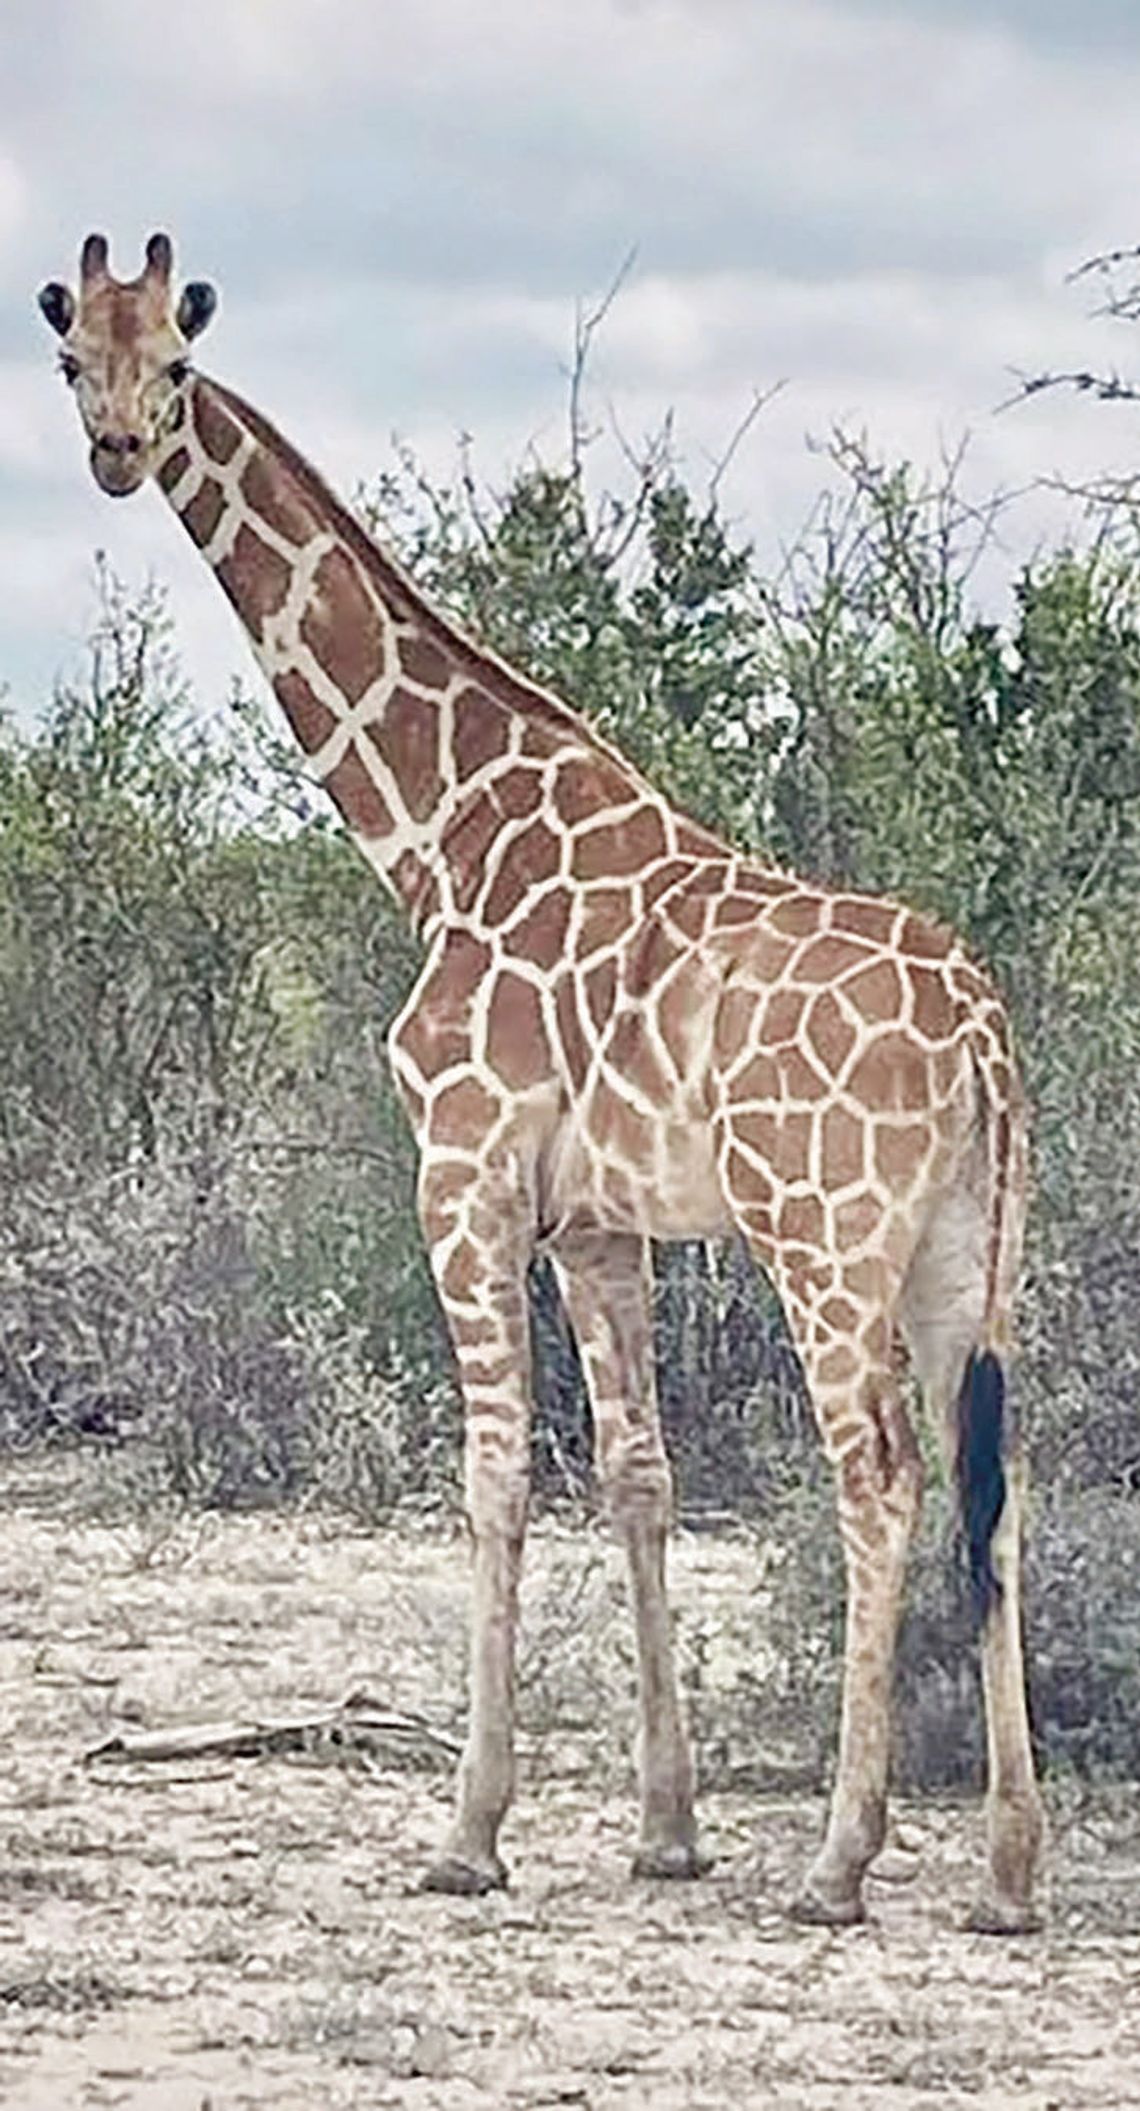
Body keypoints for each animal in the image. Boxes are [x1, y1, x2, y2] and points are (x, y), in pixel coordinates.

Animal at [39, 233, 1045, 1932]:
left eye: (174, 359)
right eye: (67, 359)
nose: (115, 452)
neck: (439, 831)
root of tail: (982, 1030)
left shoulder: (464, 1172)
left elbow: (497, 1473)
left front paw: (469, 1829)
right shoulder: (597, 1220)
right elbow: (638, 1474)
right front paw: (667, 1827)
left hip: (826, 1237)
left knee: (883, 1477)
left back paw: (840, 1859)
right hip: (970, 1254)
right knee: (999, 1478)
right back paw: (1009, 1870)